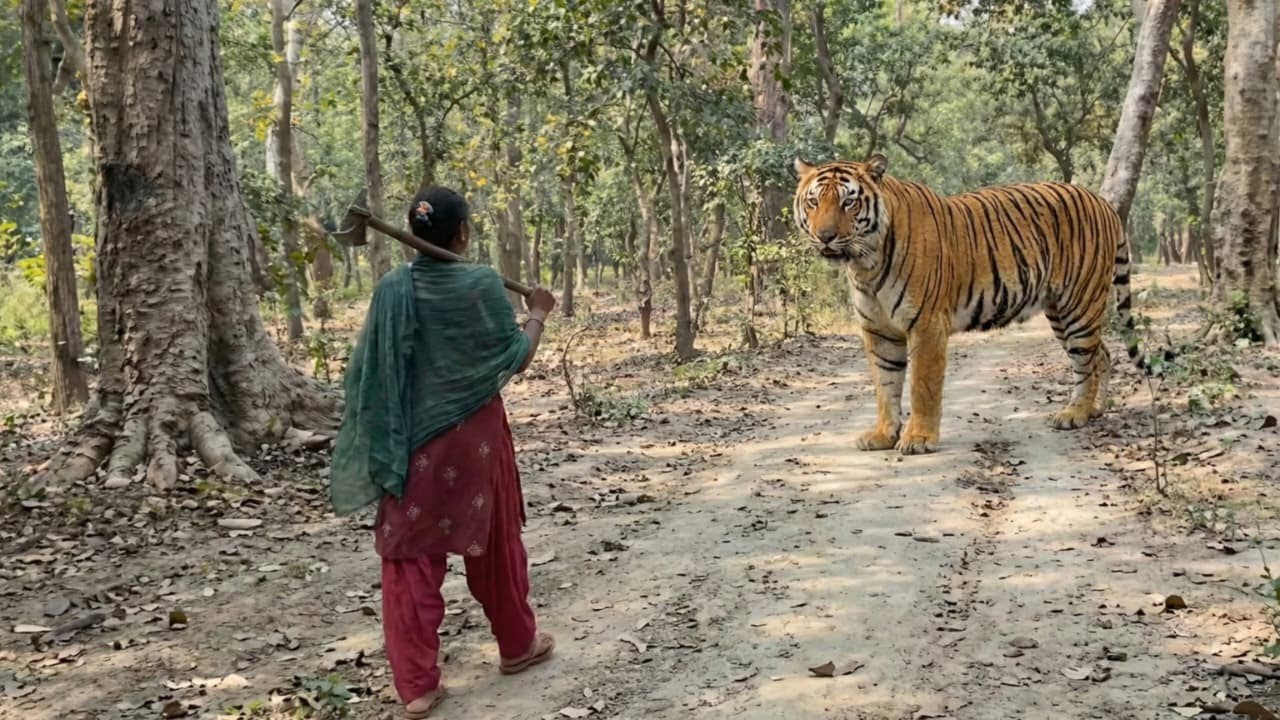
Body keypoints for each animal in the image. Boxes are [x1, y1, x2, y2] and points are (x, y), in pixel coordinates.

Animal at [791, 154, 1144, 455]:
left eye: (848, 202)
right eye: (814, 201)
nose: (825, 236)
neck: (865, 264)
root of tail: (1102, 202)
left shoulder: (927, 324)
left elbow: (922, 385)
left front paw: (919, 438)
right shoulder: (878, 330)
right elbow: (885, 385)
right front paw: (883, 435)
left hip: (1079, 305)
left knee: (1085, 360)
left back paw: (1075, 414)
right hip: (1059, 311)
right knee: (1102, 353)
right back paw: (1096, 409)